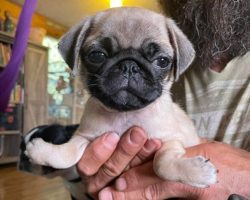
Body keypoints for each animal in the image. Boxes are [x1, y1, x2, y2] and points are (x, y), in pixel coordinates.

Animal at [24, 7, 217, 188]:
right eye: (97, 55)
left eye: (162, 61)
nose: (129, 65)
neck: (124, 114)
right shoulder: (84, 137)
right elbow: (67, 154)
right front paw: (42, 151)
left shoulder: (171, 140)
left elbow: (162, 165)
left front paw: (198, 173)